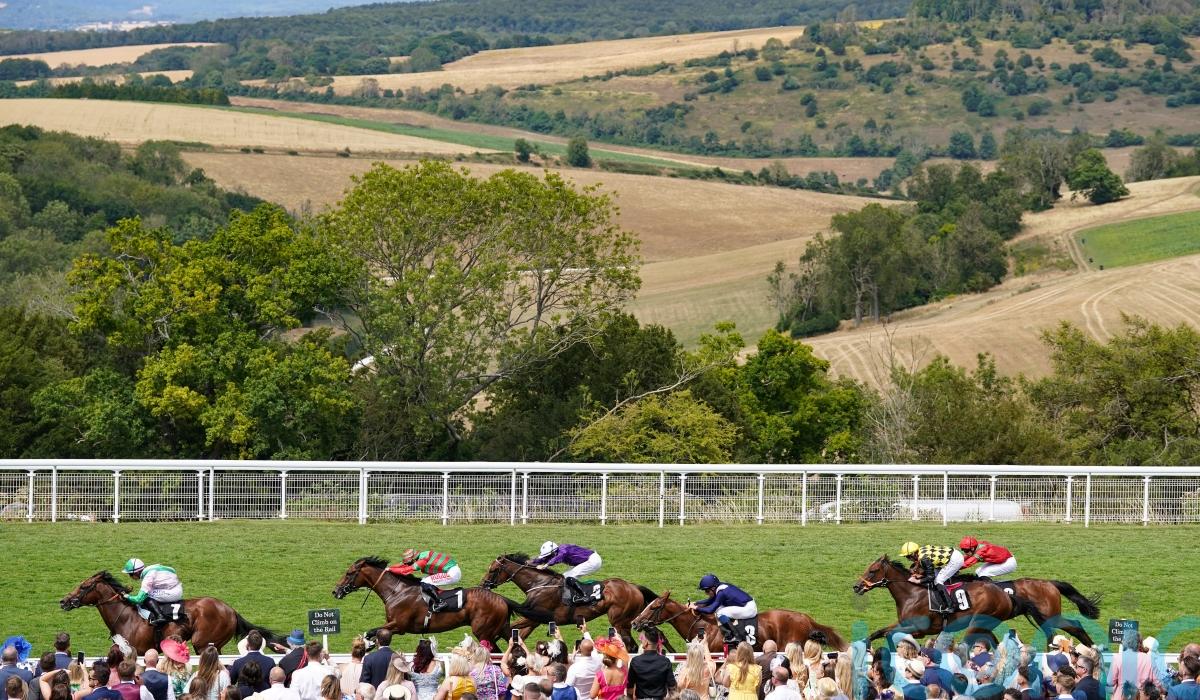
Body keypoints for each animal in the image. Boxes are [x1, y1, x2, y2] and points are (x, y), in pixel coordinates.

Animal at [60, 571, 287, 654]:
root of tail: (231, 610)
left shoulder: (139, 651)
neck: (126, 617)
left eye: (83, 587)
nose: (63, 601)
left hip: (203, 642)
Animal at [332, 556, 544, 649]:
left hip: (484, 632)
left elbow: (372, 631)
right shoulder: (392, 625)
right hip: (503, 628)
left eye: (349, 573)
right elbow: (375, 634)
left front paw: (366, 643)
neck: (397, 591)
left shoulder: (399, 625)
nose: (335, 591)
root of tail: (501, 598)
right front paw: (368, 645)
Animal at [480, 553, 658, 646]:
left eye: (493, 570)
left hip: (620, 621)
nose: (483, 584)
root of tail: (634, 587)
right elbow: (518, 635)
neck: (540, 584)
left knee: (631, 646)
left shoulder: (535, 616)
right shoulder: (533, 619)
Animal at [853, 556, 1045, 645]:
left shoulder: (919, 629)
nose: (856, 587)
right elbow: (879, 632)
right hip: (985, 625)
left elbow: (890, 634)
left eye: (872, 571)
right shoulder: (904, 623)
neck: (911, 594)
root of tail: (1005, 594)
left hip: (978, 622)